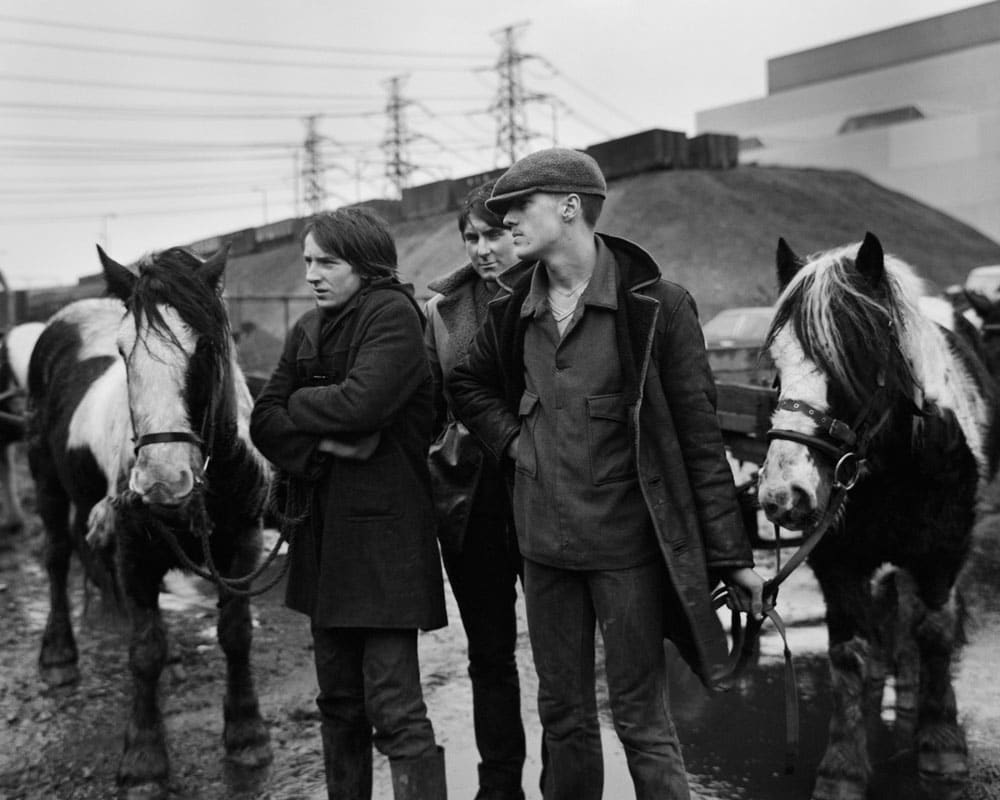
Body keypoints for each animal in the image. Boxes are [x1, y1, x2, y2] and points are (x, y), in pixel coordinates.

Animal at [29, 247, 276, 796]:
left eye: (205, 348)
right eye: (123, 353)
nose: (163, 480)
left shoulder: (243, 544)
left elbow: (236, 633)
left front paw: (246, 731)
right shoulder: (136, 554)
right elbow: (145, 651)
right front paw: (144, 758)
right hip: (45, 479)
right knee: (57, 554)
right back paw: (59, 654)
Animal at [756, 233, 1000, 800]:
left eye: (853, 354)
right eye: (777, 362)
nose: (784, 495)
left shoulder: (942, 553)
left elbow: (935, 630)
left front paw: (941, 741)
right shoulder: (837, 560)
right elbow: (848, 651)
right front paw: (842, 766)